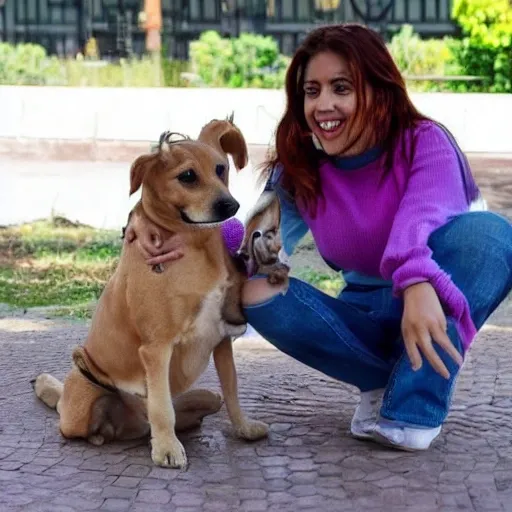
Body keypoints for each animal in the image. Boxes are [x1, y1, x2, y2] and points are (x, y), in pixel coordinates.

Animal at [34, 118, 286, 470]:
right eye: (188, 176)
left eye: (221, 169)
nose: (231, 206)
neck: (195, 246)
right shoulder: (157, 348)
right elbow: (161, 407)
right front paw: (167, 449)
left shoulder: (222, 338)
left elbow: (232, 391)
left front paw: (244, 429)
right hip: (80, 407)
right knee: (77, 422)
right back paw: (104, 433)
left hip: (203, 398)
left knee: (202, 404)